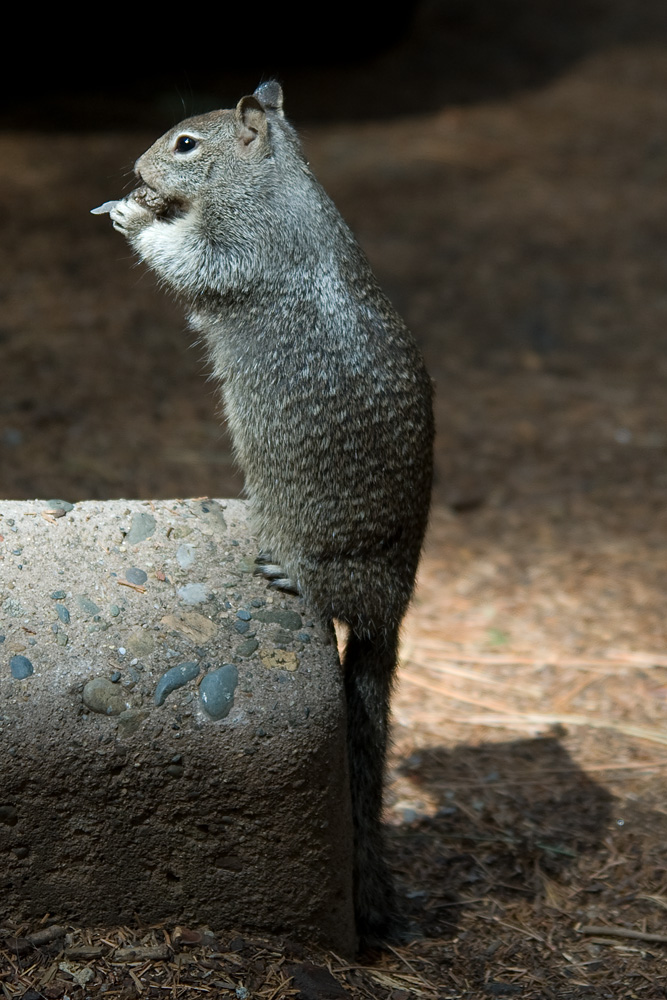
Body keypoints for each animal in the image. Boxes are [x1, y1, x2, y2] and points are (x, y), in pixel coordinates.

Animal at [96, 82, 436, 948]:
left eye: (184, 144)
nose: (135, 168)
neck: (275, 181)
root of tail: (392, 610)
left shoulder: (242, 250)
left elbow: (191, 260)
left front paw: (135, 216)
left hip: (330, 567)